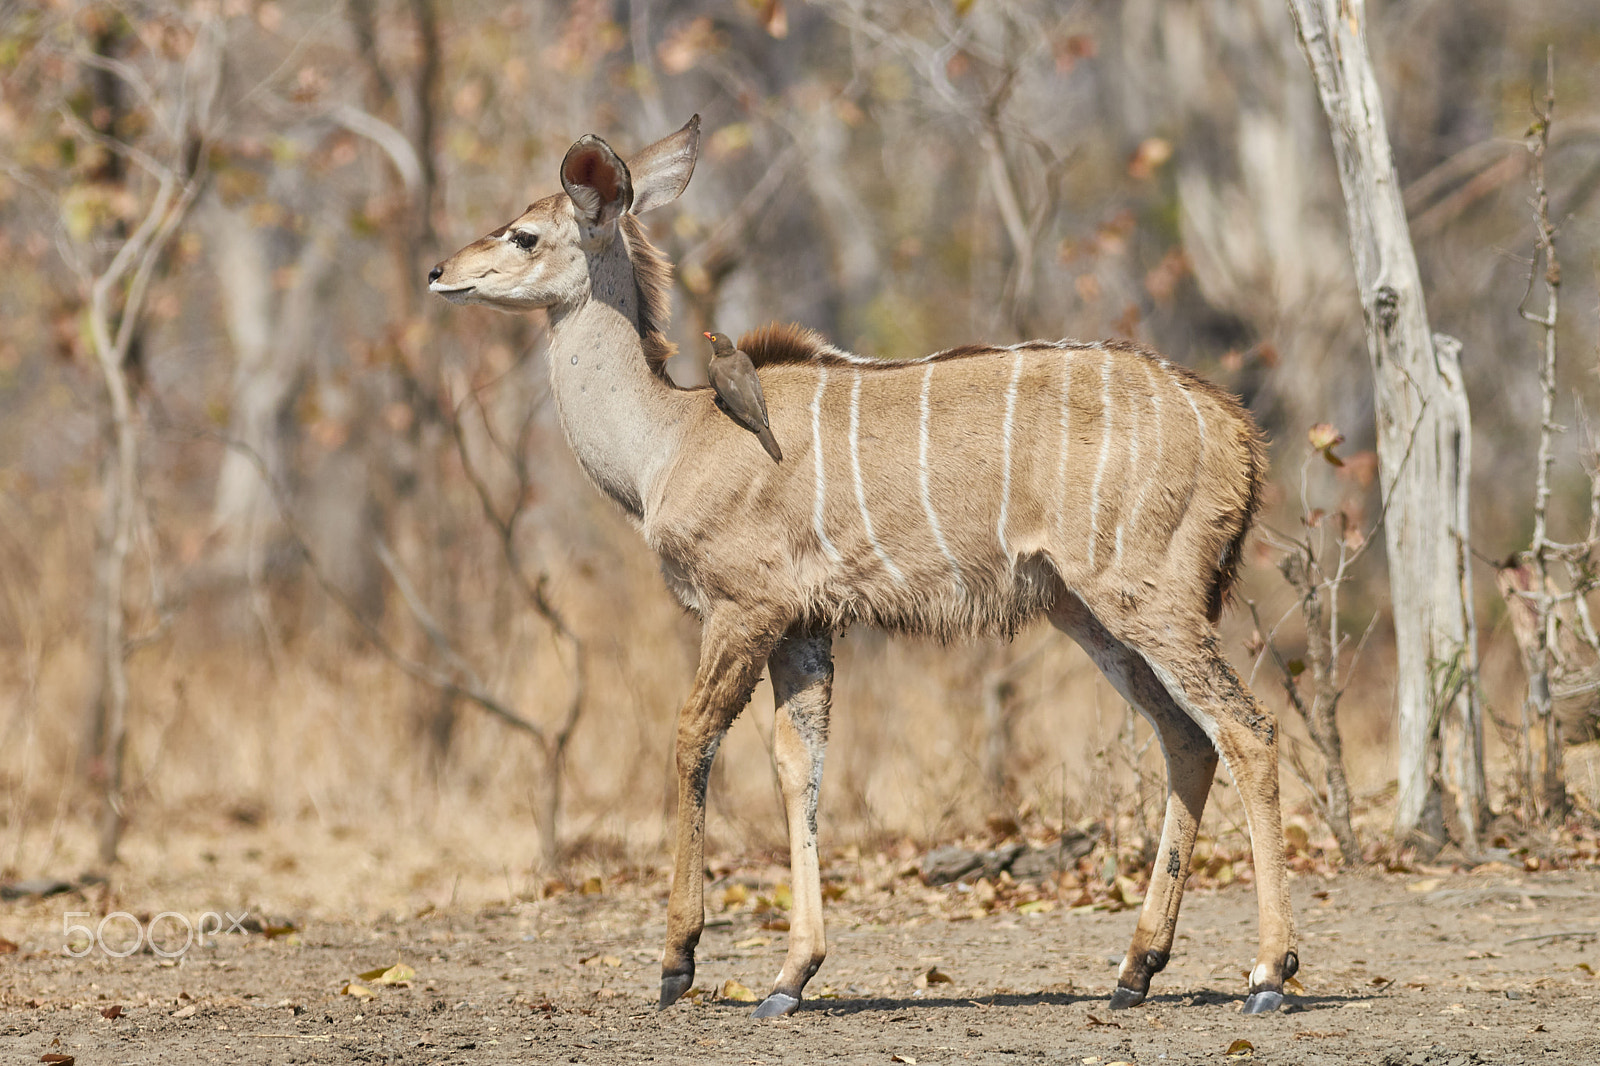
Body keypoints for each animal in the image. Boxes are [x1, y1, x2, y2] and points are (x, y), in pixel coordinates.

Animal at [428, 114, 1299, 1011]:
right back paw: (1135, 969)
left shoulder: (744, 609)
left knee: (1247, 729)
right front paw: (791, 975)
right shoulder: (804, 627)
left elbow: (693, 737)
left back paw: (1269, 972)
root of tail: (1235, 428)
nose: (439, 272)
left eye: (524, 234)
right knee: (1187, 738)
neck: (669, 438)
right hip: (1086, 611)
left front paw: (678, 961)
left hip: (1145, 596)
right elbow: (797, 766)